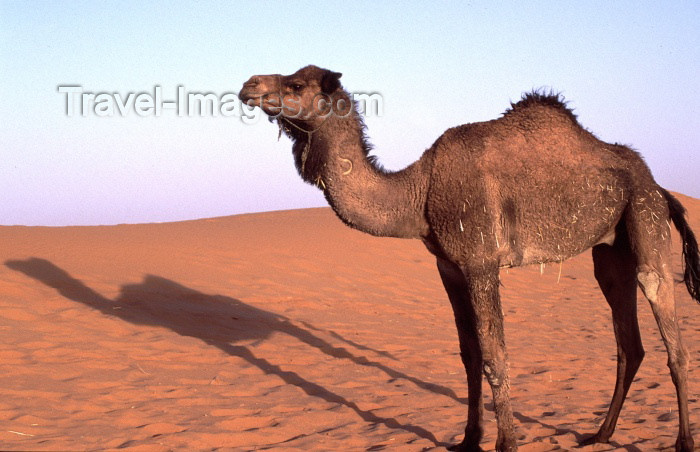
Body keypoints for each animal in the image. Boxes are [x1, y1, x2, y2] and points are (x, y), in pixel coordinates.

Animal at [238, 65, 696, 450]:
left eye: (297, 85)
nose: (249, 86)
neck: (420, 192)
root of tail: (658, 185)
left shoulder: (481, 263)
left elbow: (495, 356)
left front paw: (506, 443)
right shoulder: (449, 268)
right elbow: (469, 355)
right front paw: (468, 439)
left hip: (646, 219)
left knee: (672, 337)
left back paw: (683, 441)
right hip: (610, 253)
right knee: (629, 343)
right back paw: (600, 434)